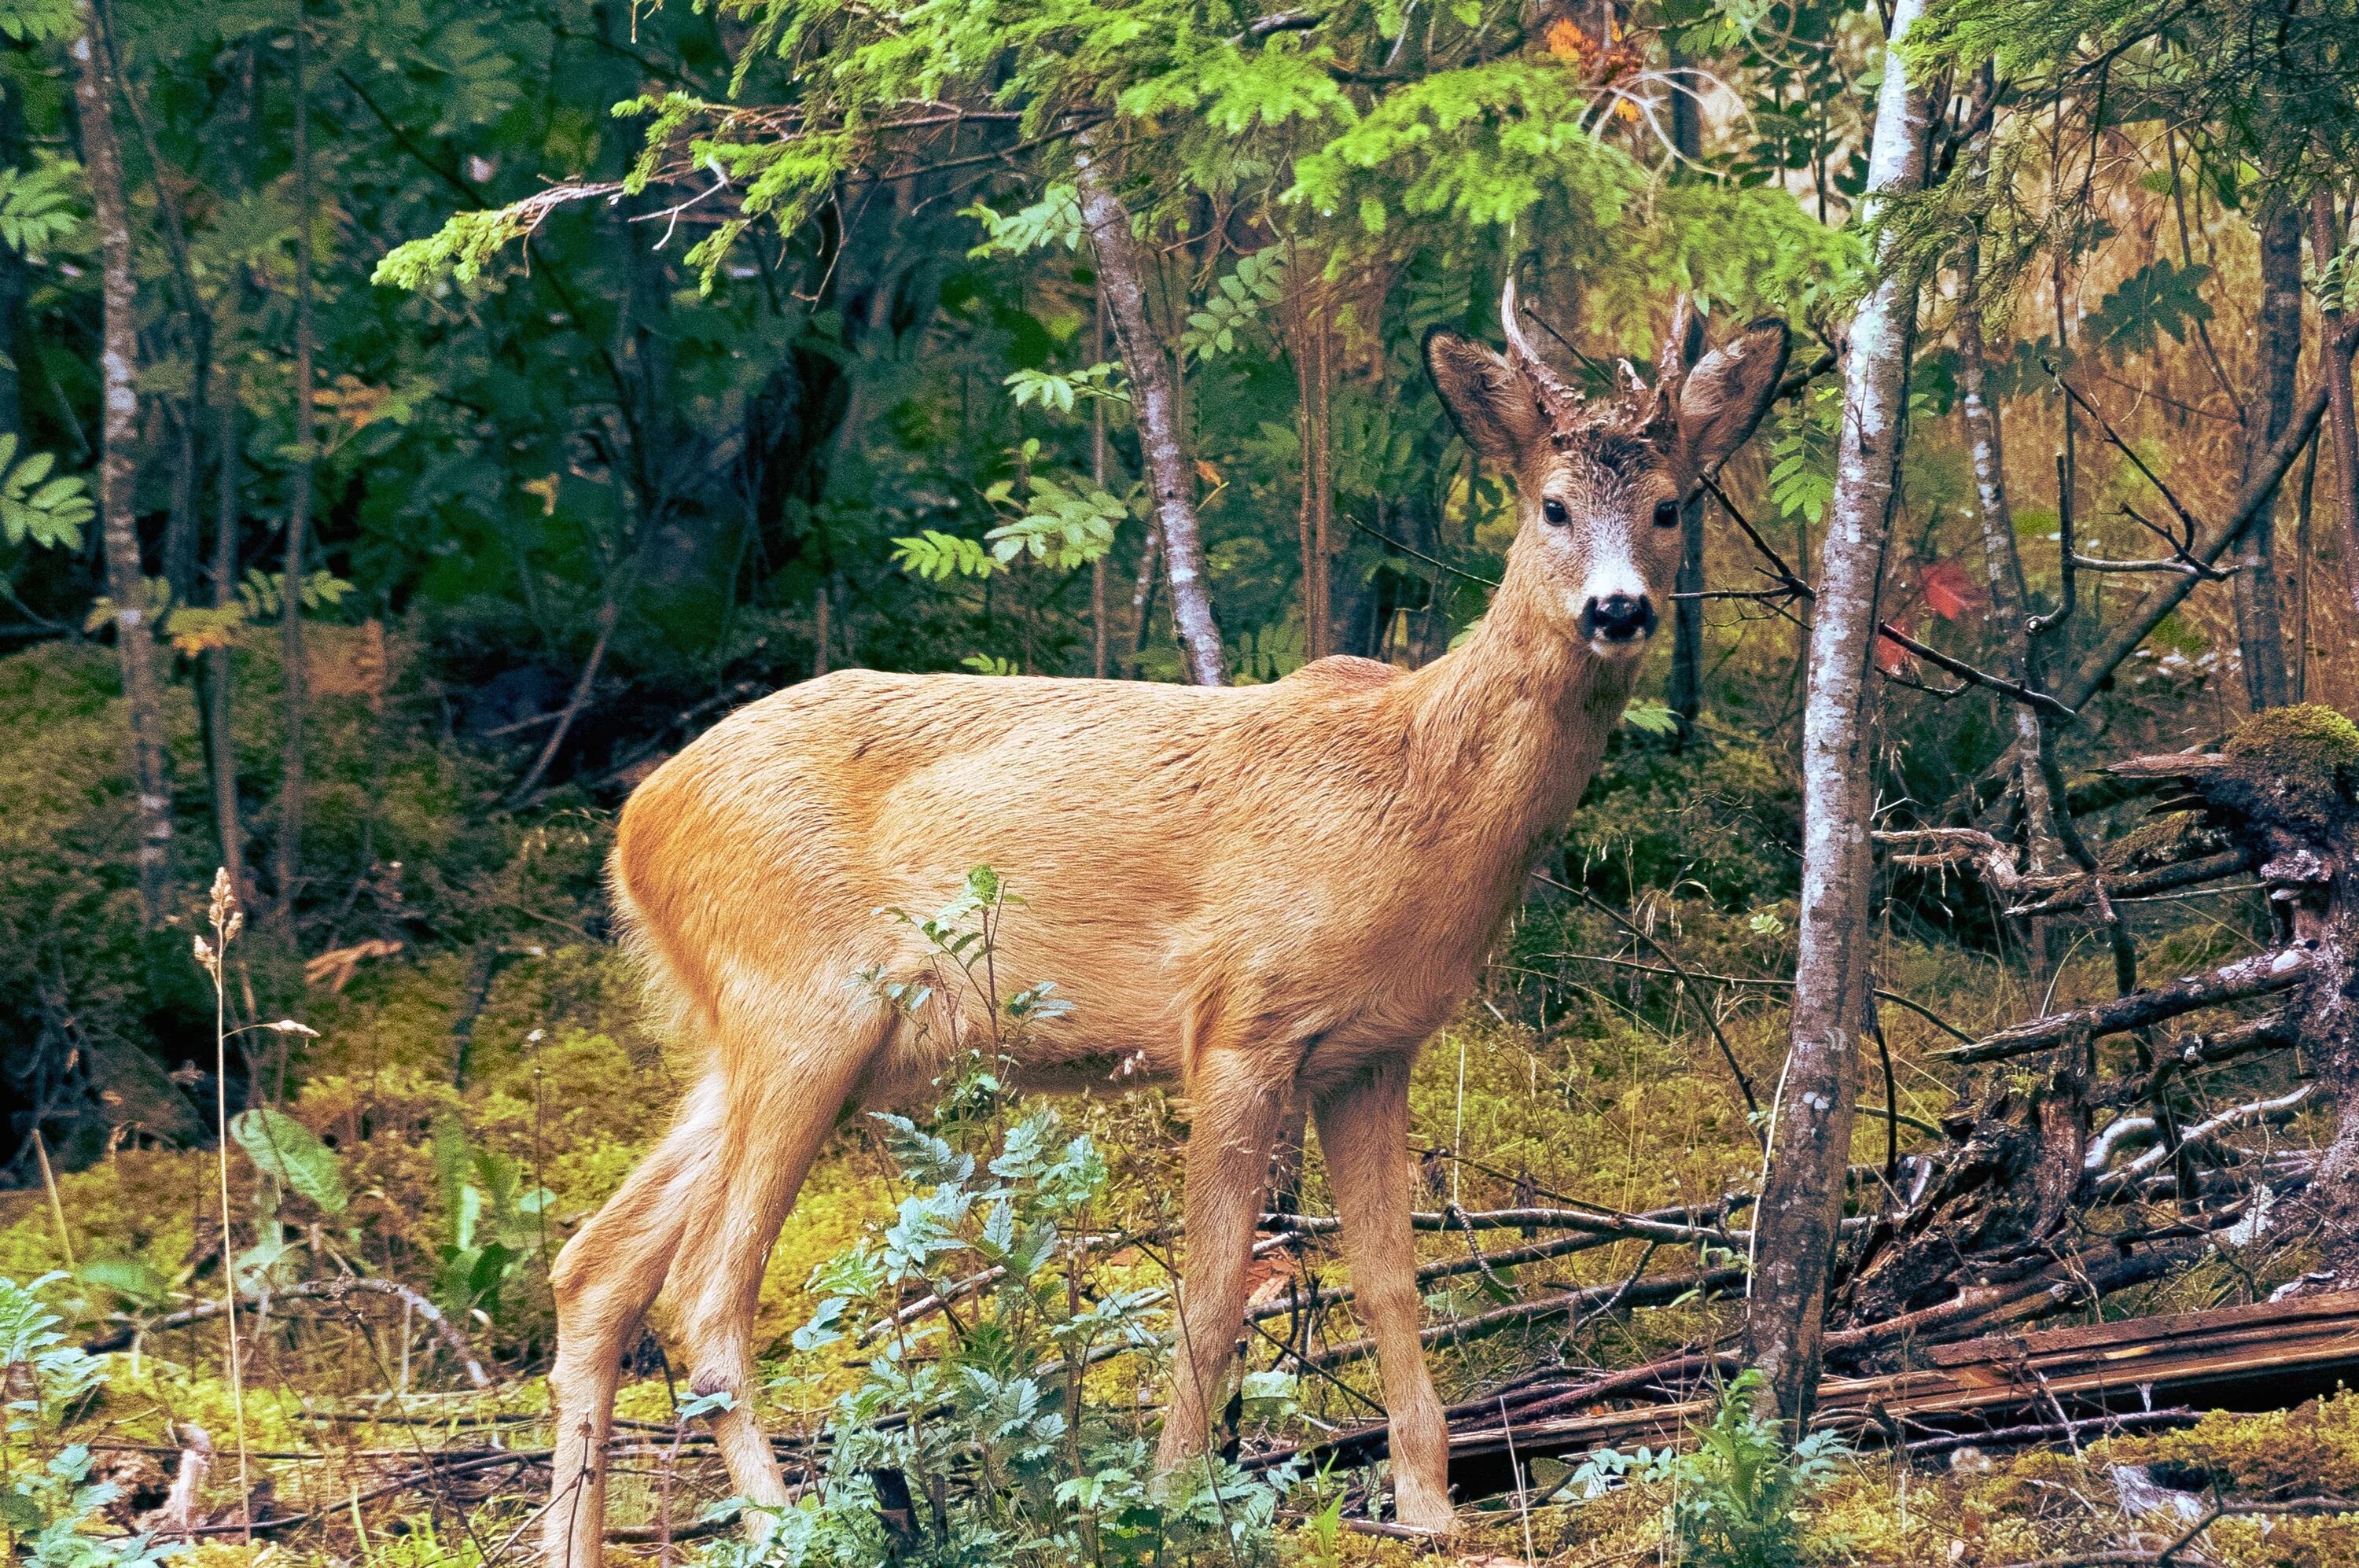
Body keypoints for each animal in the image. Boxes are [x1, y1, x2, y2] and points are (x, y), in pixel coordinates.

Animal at [540, 284, 1783, 1566]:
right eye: (1551, 505)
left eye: (1672, 506)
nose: (1619, 609)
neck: (1412, 800)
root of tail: (637, 821)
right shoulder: (1239, 1020)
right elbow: (1215, 1280)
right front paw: (1177, 1495)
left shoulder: (1373, 1049)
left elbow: (1391, 1279)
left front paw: (1430, 1506)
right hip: (805, 1008)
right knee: (705, 1289)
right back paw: (790, 1524)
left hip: (754, 1034)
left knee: (595, 1263)